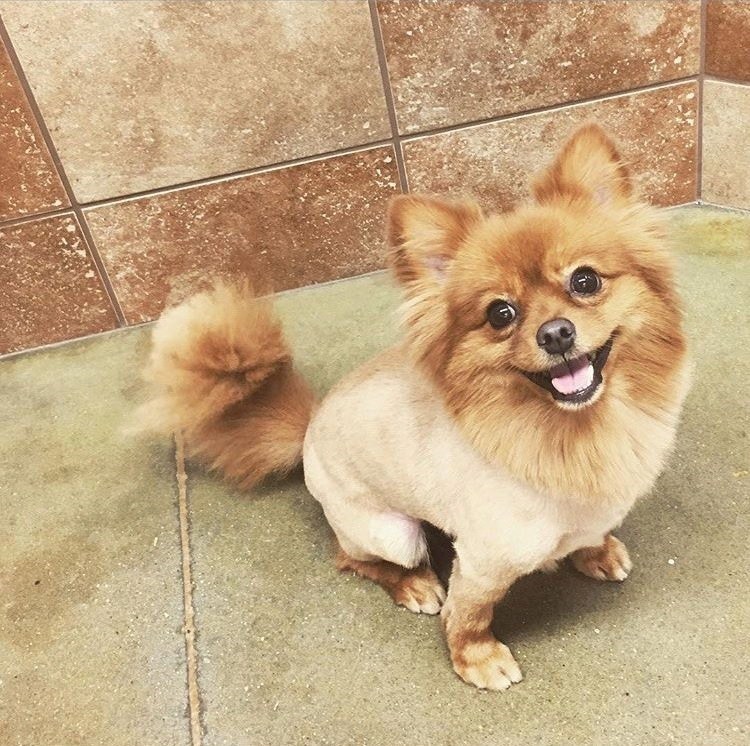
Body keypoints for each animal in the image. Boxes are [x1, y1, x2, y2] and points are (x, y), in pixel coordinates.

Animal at [139, 124, 691, 690]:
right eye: (500, 313)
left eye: (585, 281)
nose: (556, 333)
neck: (579, 431)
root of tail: (310, 427)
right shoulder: (483, 560)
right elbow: (469, 615)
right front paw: (476, 659)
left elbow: (589, 533)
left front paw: (596, 551)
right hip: (392, 533)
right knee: (350, 559)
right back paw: (415, 585)